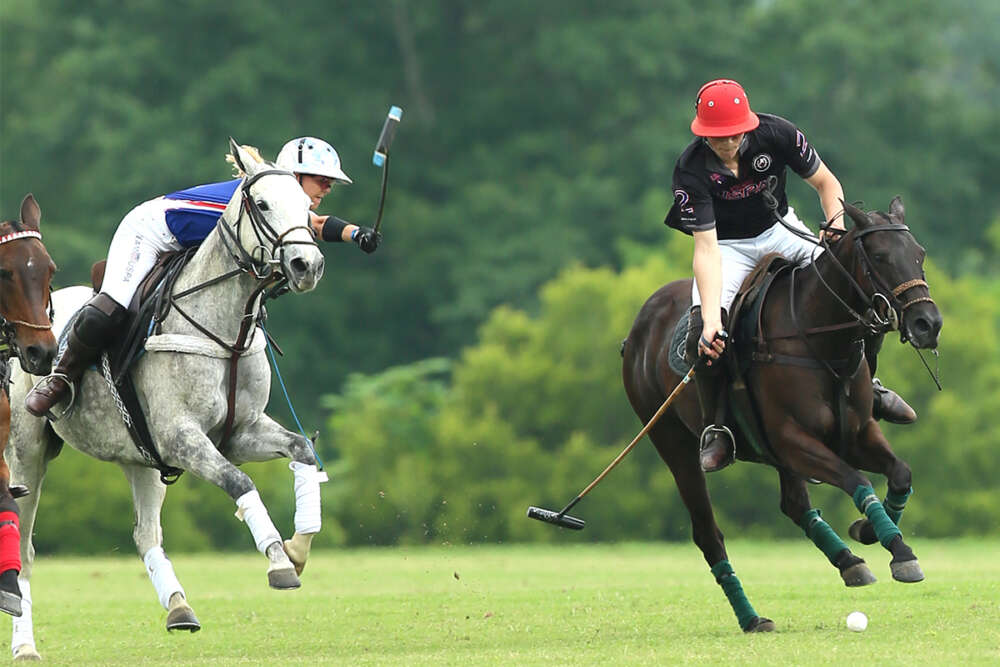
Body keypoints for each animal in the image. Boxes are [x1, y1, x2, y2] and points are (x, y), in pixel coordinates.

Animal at [6, 141, 328, 664]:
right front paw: (279, 561)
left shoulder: (240, 432)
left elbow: (302, 448)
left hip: (139, 454)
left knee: (145, 533)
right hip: (27, 451)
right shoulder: (181, 437)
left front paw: (298, 549)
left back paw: (179, 607)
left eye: (308, 208)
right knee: (28, 546)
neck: (225, 332)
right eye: (262, 205)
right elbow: (240, 482)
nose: (308, 266)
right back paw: (24, 645)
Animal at [620, 197, 940, 632]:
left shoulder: (855, 434)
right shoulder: (794, 439)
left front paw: (871, 534)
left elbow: (901, 473)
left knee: (794, 504)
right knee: (708, 533)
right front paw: (900, 552)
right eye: (878, 256)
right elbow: (857, 481)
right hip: (674, 443)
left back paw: (849, 562)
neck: (821, 339)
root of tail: (637, 329)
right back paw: (752, 618)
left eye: (919, 254)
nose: (928, 324)